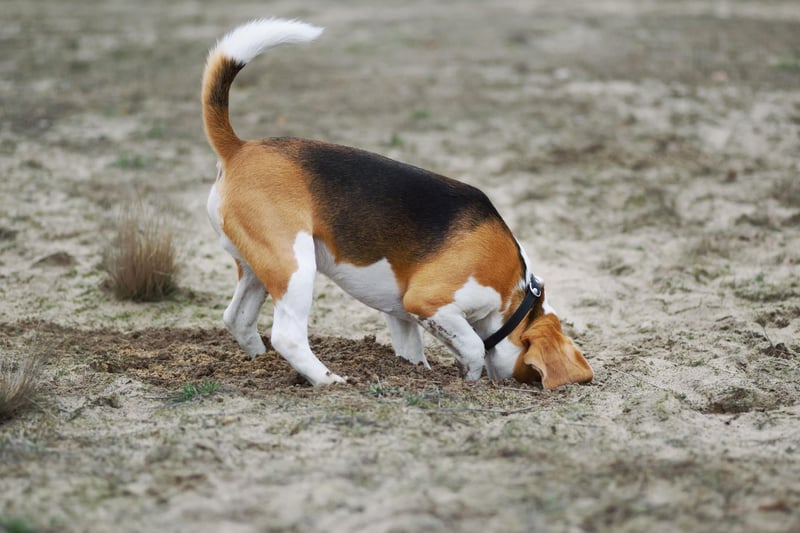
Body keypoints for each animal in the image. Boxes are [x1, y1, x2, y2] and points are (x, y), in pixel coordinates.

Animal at [202, 18, 592, 388]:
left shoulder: (401, 315)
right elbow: (474, 347)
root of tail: (239, 148)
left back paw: (261, 362)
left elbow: (413, 352)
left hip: (257, 266)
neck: (515, 290)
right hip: (295, 266)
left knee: (237, 318)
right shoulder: (428, 302)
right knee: (287, 336)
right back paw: (328, 380)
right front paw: (469, 378)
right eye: (532, 373)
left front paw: (417, 373)